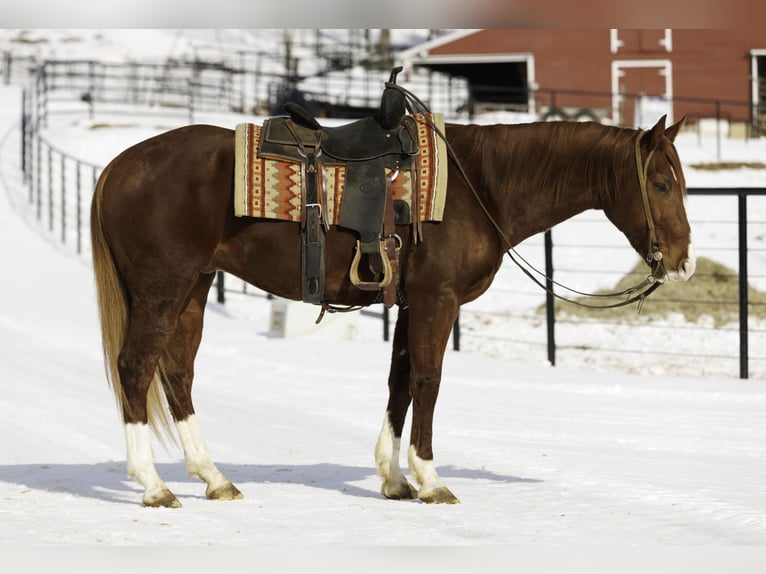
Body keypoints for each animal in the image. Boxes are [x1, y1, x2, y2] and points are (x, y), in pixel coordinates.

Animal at [90, 113, 695, 507]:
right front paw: (431, 480)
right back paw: (154, 485)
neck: (482, 186)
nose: (683, 261)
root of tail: (118, 166)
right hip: (162, 288)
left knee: (177, 373)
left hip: (192, 288)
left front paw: (393, 478)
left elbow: (399, 382)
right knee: (136, 368)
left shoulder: (408, 304)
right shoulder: (436, 301)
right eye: (661, 183)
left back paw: (214, 478)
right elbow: (428, 380)